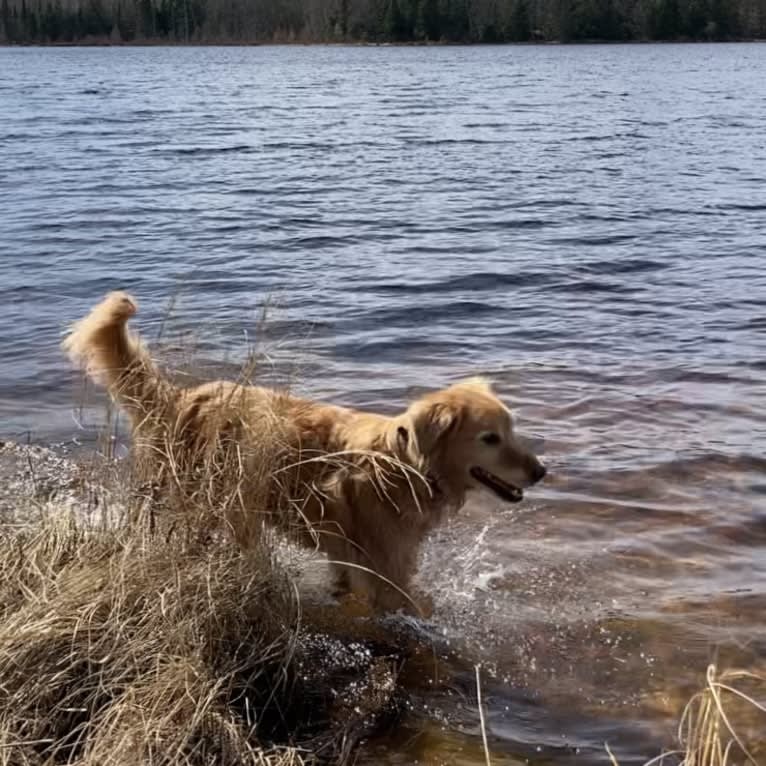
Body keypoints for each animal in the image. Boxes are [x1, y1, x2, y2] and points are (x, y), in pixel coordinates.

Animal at [64, 294, 544, 616]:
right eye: (490, 438)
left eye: (512, 428)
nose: (541, 471)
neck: (404, 467)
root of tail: (184, 397)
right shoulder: (389, 572)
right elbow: (414, 606)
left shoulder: (350, 560)